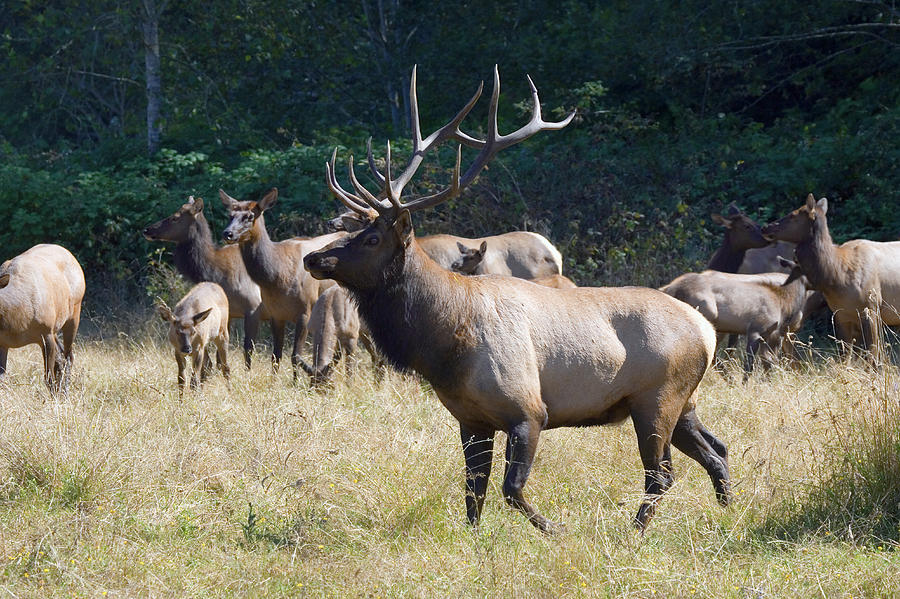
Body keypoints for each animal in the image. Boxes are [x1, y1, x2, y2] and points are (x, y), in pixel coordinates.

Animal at [0, 244, 85, 394]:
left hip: (74, 312)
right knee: (61, 358)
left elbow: (48, 379)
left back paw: (65, 392)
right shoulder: (3, 342)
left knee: (68, 356)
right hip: (56, 327)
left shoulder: (46, 333)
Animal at [142, 196, 268, 370]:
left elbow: (247, 351)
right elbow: (214, 360)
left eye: (175, 217)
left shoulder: (252, 308)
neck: (215, 271)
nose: (147, 230)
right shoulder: (227, 314)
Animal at [219, 188, 344, 380]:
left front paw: (294, 383)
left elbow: (295, 355)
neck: (276, 278)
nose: (228, 233)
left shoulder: (305, 311)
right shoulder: (275, 314)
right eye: (230, 215)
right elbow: (275, 355)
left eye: (249, 216)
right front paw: (273, 382)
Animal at [304, 67, 732, 536]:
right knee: (717, 451)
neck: (443, 344)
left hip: (657, 398)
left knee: (661, 474)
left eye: (371, 238)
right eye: (353, 231)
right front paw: (474, 540)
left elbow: (511, 488)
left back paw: (632, 533)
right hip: (683, 401)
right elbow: (473, 492)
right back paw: (729, 511)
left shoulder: (528, 410)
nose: (313, 257)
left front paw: (555, 529)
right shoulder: (471, 419)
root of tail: (706, 331)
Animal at [760, 195, 900, 358]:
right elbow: (845, 355)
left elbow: (873, 355)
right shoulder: (841, 315)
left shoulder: (871, 308)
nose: (765, 227)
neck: (837, 276)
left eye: (793, 215)